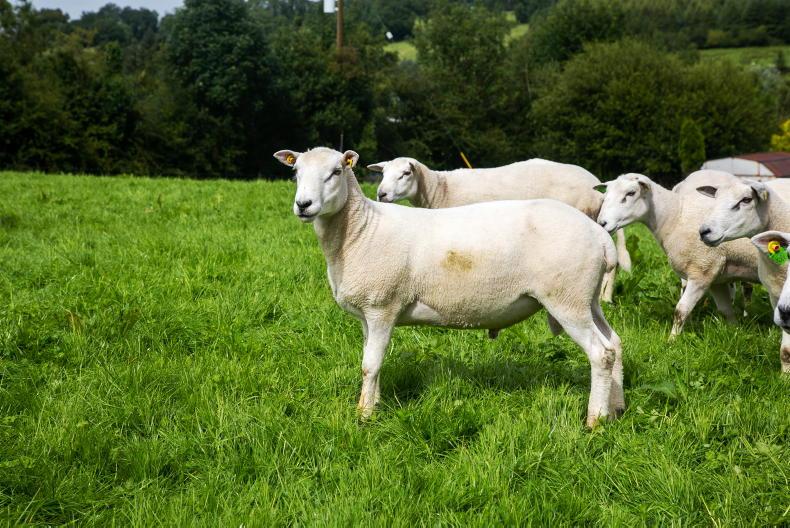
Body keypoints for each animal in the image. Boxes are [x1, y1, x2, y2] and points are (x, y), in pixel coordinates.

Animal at [367, 157, 631, 302]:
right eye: (383, 173)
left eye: (405, 173)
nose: (381, 194)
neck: (440, 190)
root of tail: (597, 186)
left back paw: (603, 298)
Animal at [596, 173, 759, 337]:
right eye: (605, 194)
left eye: (631, 193)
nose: (602, 223)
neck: (675, 217)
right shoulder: (716, 276)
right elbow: (726, 311)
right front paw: (735, 332)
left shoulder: (701, 270)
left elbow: (681, 310)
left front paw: (672, 340)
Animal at [698, 179, 790, 373]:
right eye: (715, 198)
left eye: (746, 200)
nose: (704, 231)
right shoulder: (777, 297)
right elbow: (786, 351)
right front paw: (784, 376)